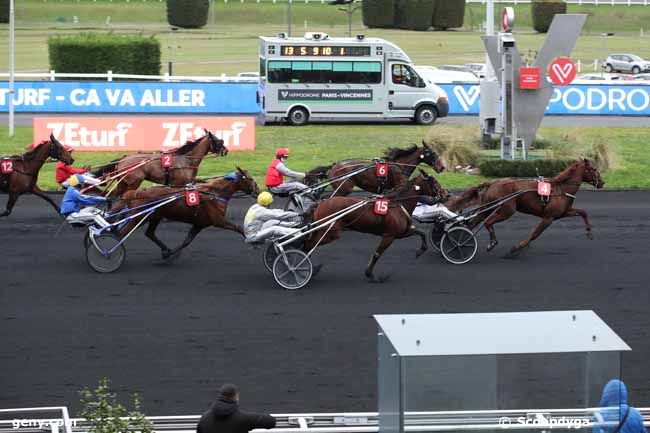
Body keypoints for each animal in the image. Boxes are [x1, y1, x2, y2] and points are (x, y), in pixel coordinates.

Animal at [92, 128, 227, 196]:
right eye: (218, 141)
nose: (225, 151)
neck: (186, 160)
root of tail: (124, 158)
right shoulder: (179, 184)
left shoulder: (188, 181)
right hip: (133, 182)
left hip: (123, 182)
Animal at [117, 167, 260, 258]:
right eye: (250, 179)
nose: (258, 191)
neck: (214, 194)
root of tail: (137, 193)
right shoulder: (218, 221)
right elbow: (238, 228)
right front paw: (254, 241)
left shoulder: (199, 224)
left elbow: (187, 241)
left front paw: (170, 254)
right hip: (139, 217)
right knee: (120, 234)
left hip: (154, 217)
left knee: (149, 233)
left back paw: (165, 249)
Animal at [302, 170, 446, 282]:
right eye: (434, 182)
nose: (446, 194)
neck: (398, 204)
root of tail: (320, 203)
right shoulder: (389, 235)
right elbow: (377, 254)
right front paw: (370, 274)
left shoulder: (400, 233)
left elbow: (421, 233)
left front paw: (420, 251)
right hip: (331, 232)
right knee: (308, 246)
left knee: (309, 244)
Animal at [308, 142, 446, 196]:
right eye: (433, 153)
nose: (442, 167)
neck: (400, 165)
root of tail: (334, 166)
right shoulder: (398, 186)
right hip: (344, 188)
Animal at [466, 158, 604, 253]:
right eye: (594, 169)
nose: (602, 183)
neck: (561, 189)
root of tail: (492, 183)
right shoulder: (548, 218)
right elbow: (535, 234)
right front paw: (517, 247)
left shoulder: (564, 213)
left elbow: (583, 212)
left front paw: (589, 233)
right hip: (506, 210)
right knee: (488, 222)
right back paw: (491, 243)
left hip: (487, 208)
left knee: (473, 223)